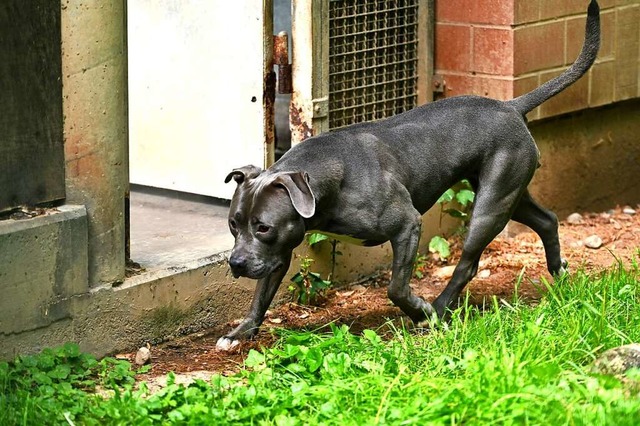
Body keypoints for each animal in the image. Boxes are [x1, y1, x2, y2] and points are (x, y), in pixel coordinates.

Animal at [218, 1, 604, 352]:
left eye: (263, 227)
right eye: (234, 225)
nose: (236, 263)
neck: (325, 180)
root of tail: (510, 106)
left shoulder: (407, 226)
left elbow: (396, 287)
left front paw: (420, 312)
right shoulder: (279, 250)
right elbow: (260, 296)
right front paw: (240, 333)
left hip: (490, 206)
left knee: (468, 263)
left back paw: (440, 308)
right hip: (510, 193)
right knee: (547, 219)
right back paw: (559, 273)